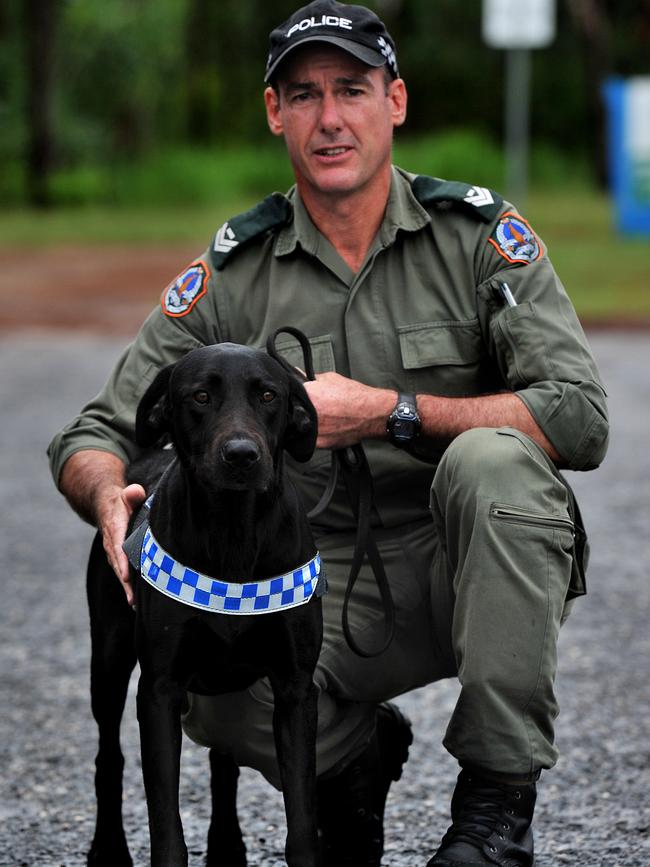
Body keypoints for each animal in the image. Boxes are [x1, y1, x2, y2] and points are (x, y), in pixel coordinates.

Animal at [87, 346, 324, 867]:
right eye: (199, 396)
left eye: (269, 395)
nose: (241, 455)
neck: (233, 533)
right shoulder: (159, 691)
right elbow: (165, 823)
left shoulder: (295, 689)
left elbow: (302, 817)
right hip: (108, 661)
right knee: (108, 756)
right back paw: (108, 848)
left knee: (223, 759)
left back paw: (227, 846)